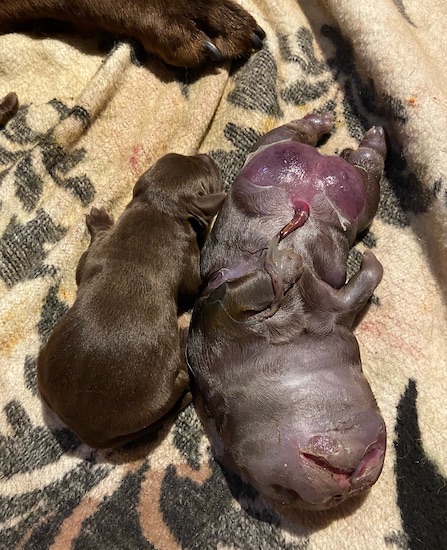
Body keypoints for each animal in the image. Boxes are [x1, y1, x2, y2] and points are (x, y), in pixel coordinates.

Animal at [38, 153, 226, 450]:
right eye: (208, 172)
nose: (206, 155)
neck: (158, 207)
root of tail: (88, 433)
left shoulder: (95, 253)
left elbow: (84, 263)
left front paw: (99, 221)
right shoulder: (188, 265)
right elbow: (194, 285)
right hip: (167, 387)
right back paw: (183, 340)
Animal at [187, 115, 390, 512]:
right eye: (285, 492)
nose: (348, 486)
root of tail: (317, 165)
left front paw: (289, 259)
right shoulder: (222, 315)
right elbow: (357, 284)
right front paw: (290, 260)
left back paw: (338, 128)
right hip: (357, 194)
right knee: (361, 166)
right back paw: (350, 134)